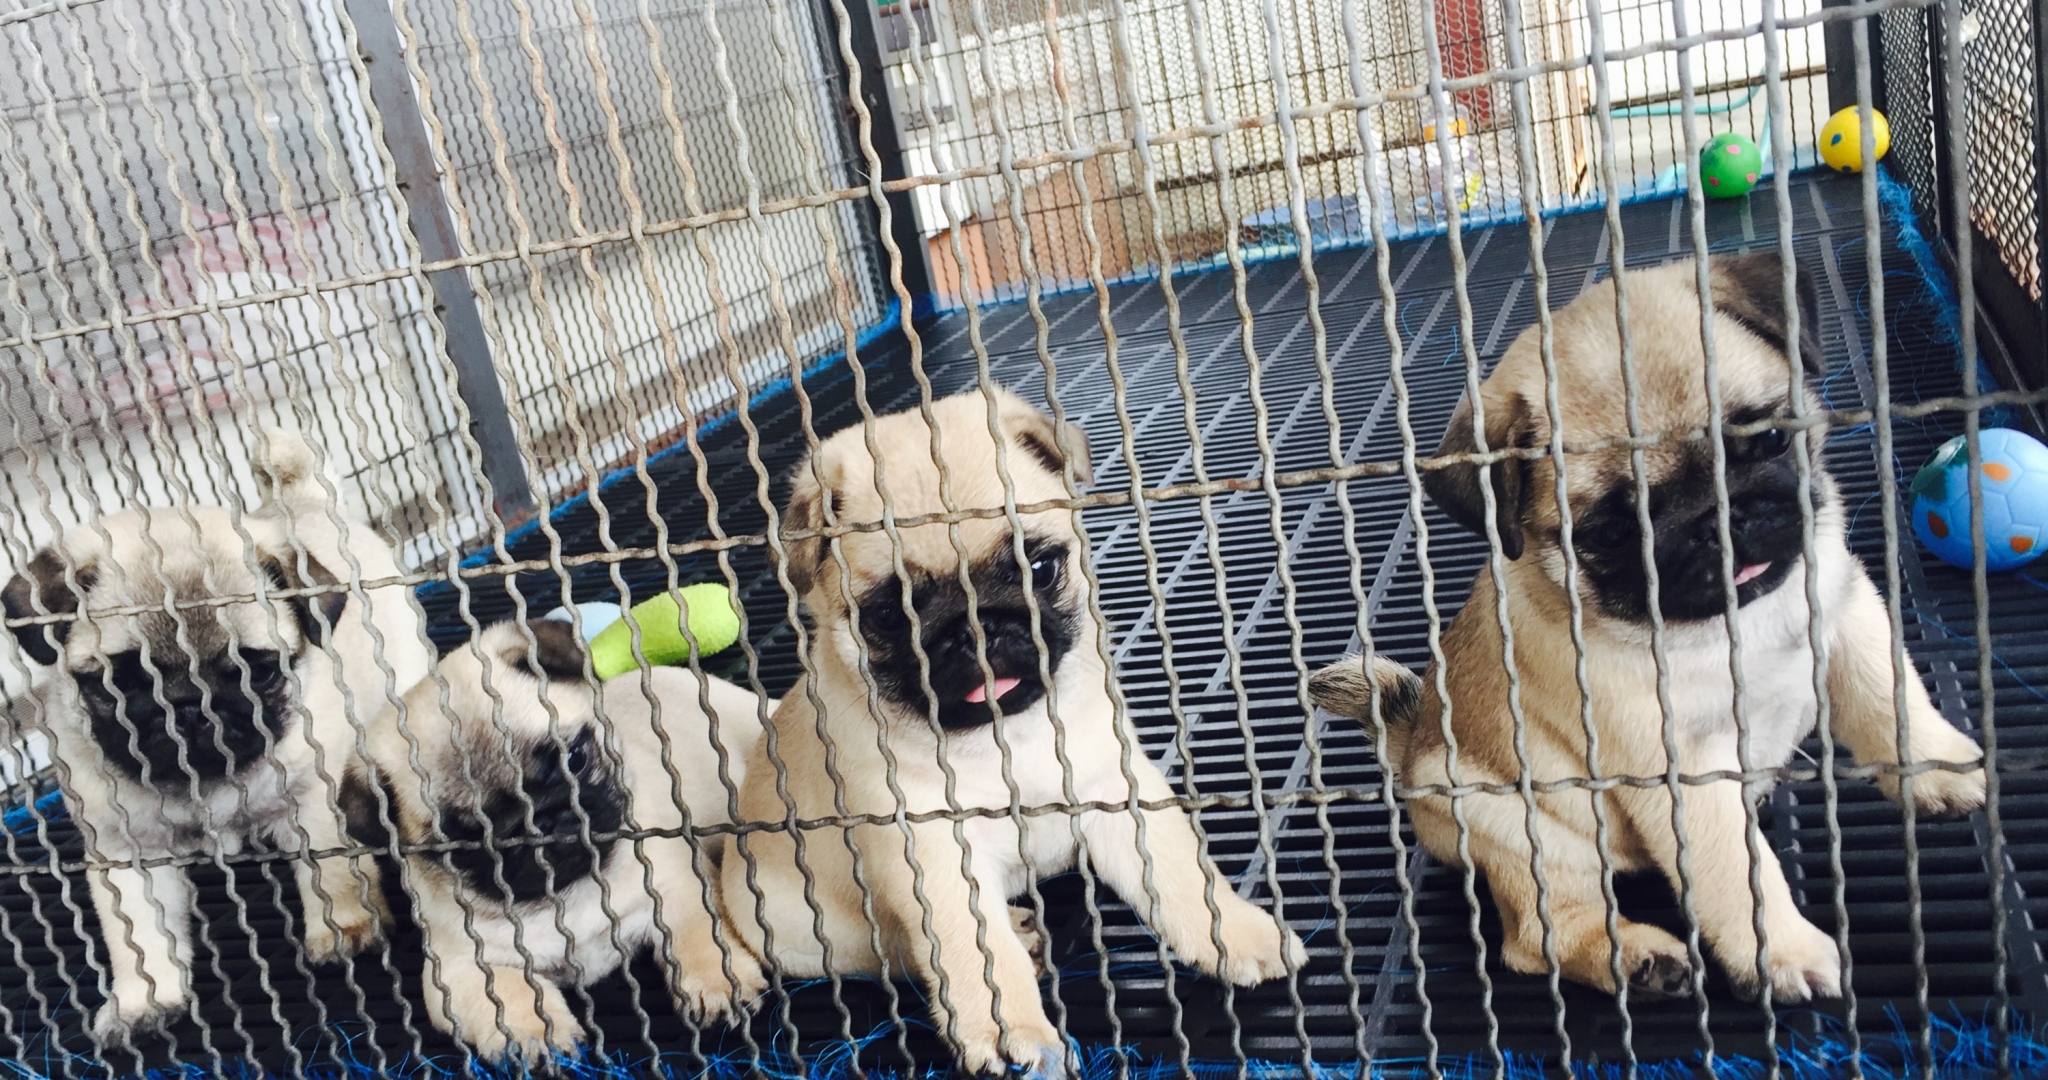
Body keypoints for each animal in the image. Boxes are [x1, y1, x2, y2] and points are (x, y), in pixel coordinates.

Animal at [2, 430, 425, 1040]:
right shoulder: (126, 851)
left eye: (259, 672)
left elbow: (331, 873)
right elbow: (137, 936)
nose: (189, 707)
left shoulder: (314, 801)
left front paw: (343, 930)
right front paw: (144, 999)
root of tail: (301, 503)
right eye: (120, 682)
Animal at [346, 619, 768, 1060]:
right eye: (466, 838)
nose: (540, 821)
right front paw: (533, 1031)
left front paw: (717, 983)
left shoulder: (679, 890)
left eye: (575, 759)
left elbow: (700, 936)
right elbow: (508, 996)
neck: (564, 896)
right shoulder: (461, 969)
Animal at [718, 387, 1306, 1075]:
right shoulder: (937, 857)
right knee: (891, 954)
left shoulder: (1116, 791)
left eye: (1040, 567)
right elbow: (975, 958)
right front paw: (1011, 1032)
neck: (1008, 738)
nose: (975, 629)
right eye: (889, 616)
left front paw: (1233, 932)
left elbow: (1180, 872)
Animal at [1308, 254, 1986, 1003]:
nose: (1713, 522)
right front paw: (1780, 950)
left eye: (1767, 440)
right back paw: (1633, 955)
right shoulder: (1682, 769)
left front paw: (1935, 766)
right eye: (1607, 533)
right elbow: (1737, 872)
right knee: (1538, 938)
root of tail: (1411, 747)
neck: (1729, 624)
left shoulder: (1843, 610)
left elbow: (1889, 695)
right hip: (1526, 833)